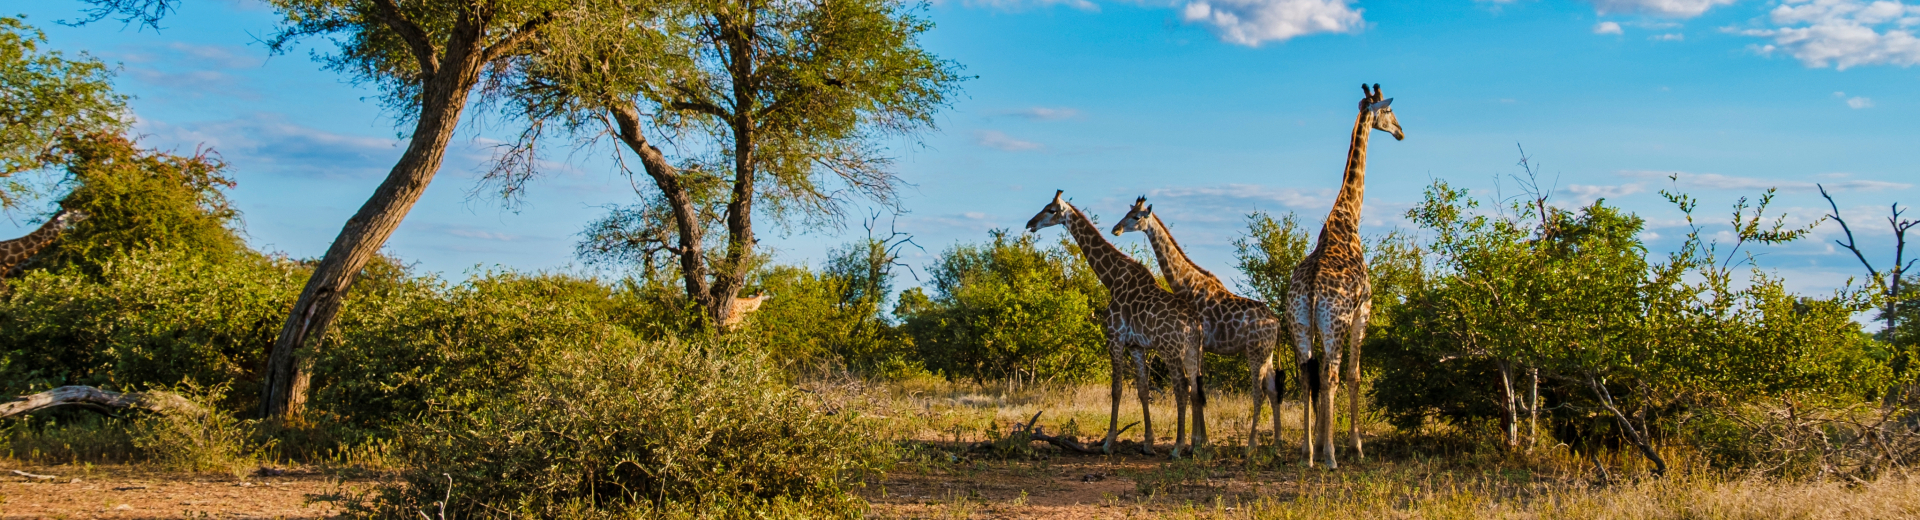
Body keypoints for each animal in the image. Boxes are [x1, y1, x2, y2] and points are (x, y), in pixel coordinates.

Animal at [1021, 190, 1198, 456]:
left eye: (1051, 210)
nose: (1030, 223)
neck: (1112, 278)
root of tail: (1194, 323)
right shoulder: (1136, 346)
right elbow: (1142, 389)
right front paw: (1148, 443)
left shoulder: (1114, 337)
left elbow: (1116, 389)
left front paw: (1108, 441)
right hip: (1191, 351)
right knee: (1193, 388)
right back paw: (1193, 446)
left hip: (1170, 350)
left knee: (1181, 388)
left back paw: (1178, 447)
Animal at [1113, 197, 1290, 458]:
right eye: (1127, 212)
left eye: (1136, 217)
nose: (1116, 229)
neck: (1186, 284)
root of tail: (1276, 322)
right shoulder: (1201, 346)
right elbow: (1199, 388)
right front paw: (1200, 442)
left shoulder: (1200, 343)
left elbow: (1197, 388)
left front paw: (1197, 443)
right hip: (1266, 354)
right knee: (1273, 390)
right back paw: (1277, 443)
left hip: (1255, 352)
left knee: (1258, 392)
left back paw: (1250, 446)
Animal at [1290, 83, 1397, 470]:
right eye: (1389, 112)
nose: (1400, 132)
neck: (1347, 217)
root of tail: (1310, 291)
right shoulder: (1363, 310)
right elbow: (1355, 375)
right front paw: (1355, 446)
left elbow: (1319, 377)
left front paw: (1320, 443)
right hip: (1334, 323)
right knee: (1332, 375)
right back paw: (1332, 457)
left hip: (1300, 323)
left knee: (1307, 374)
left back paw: (1307, 453)